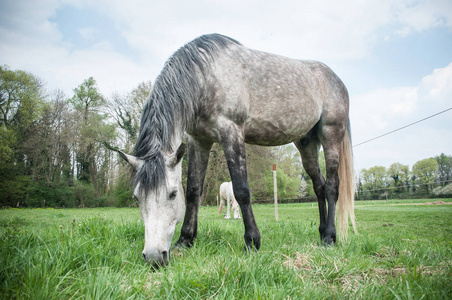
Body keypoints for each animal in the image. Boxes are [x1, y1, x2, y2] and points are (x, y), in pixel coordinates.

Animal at [117, 33, 356, 268]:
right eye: (137, 197)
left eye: (172, 194)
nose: (154, 257)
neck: (206, 76)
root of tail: (338, 80)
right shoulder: (199, 141)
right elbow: (194, 191)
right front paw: (185, 240)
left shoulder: (231, 132)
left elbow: (242, 190)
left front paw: (252, 242)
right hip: (307, 144)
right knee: (319, 186)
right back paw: (321, 232)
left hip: (331, 136)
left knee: (332, 187)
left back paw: (330, 237)